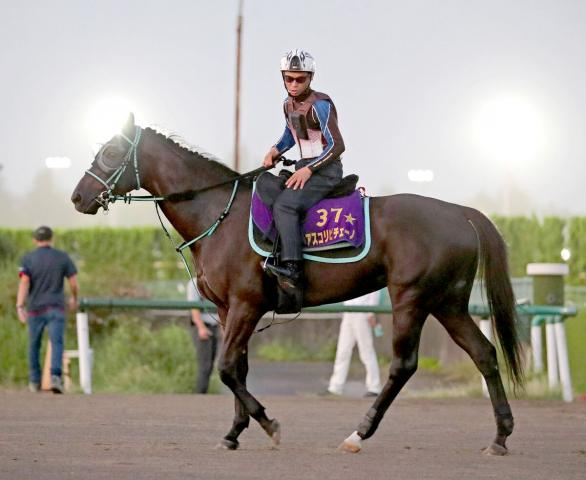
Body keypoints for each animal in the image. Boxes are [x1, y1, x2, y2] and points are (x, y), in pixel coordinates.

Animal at [70, 114, 524, 456]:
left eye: (110, 153)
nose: (78, 197)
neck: (219, 214)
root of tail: (460, 212)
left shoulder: (245, 305)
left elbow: (227, 368)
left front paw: (268, 424)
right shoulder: (228, 309)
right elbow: (238, 368)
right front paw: (233, 433)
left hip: (411, 299)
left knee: (403, 365)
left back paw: (358, 434)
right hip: (448, 302)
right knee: (484, 354)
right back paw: (500, 436)